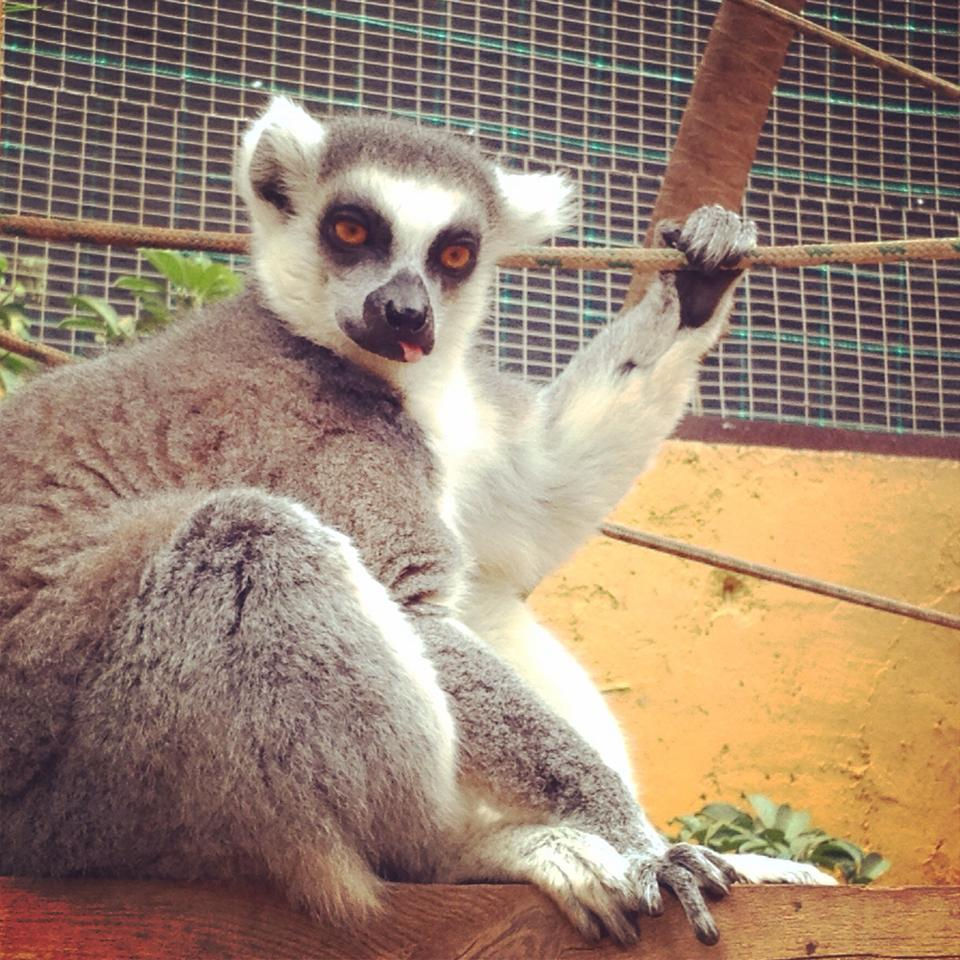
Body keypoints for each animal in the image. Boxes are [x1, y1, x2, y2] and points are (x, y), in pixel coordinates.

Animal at [0, 98, 828, 951]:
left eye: (455, 253)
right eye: (352, 230)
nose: (405, 309)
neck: (381, 376)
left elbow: (540, 500)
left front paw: (700, 278)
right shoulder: (308, 430)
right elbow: (415, 608)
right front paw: (638, 846)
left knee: (485, 598)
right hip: (121, 786)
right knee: (253, 541)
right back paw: (464, 854)